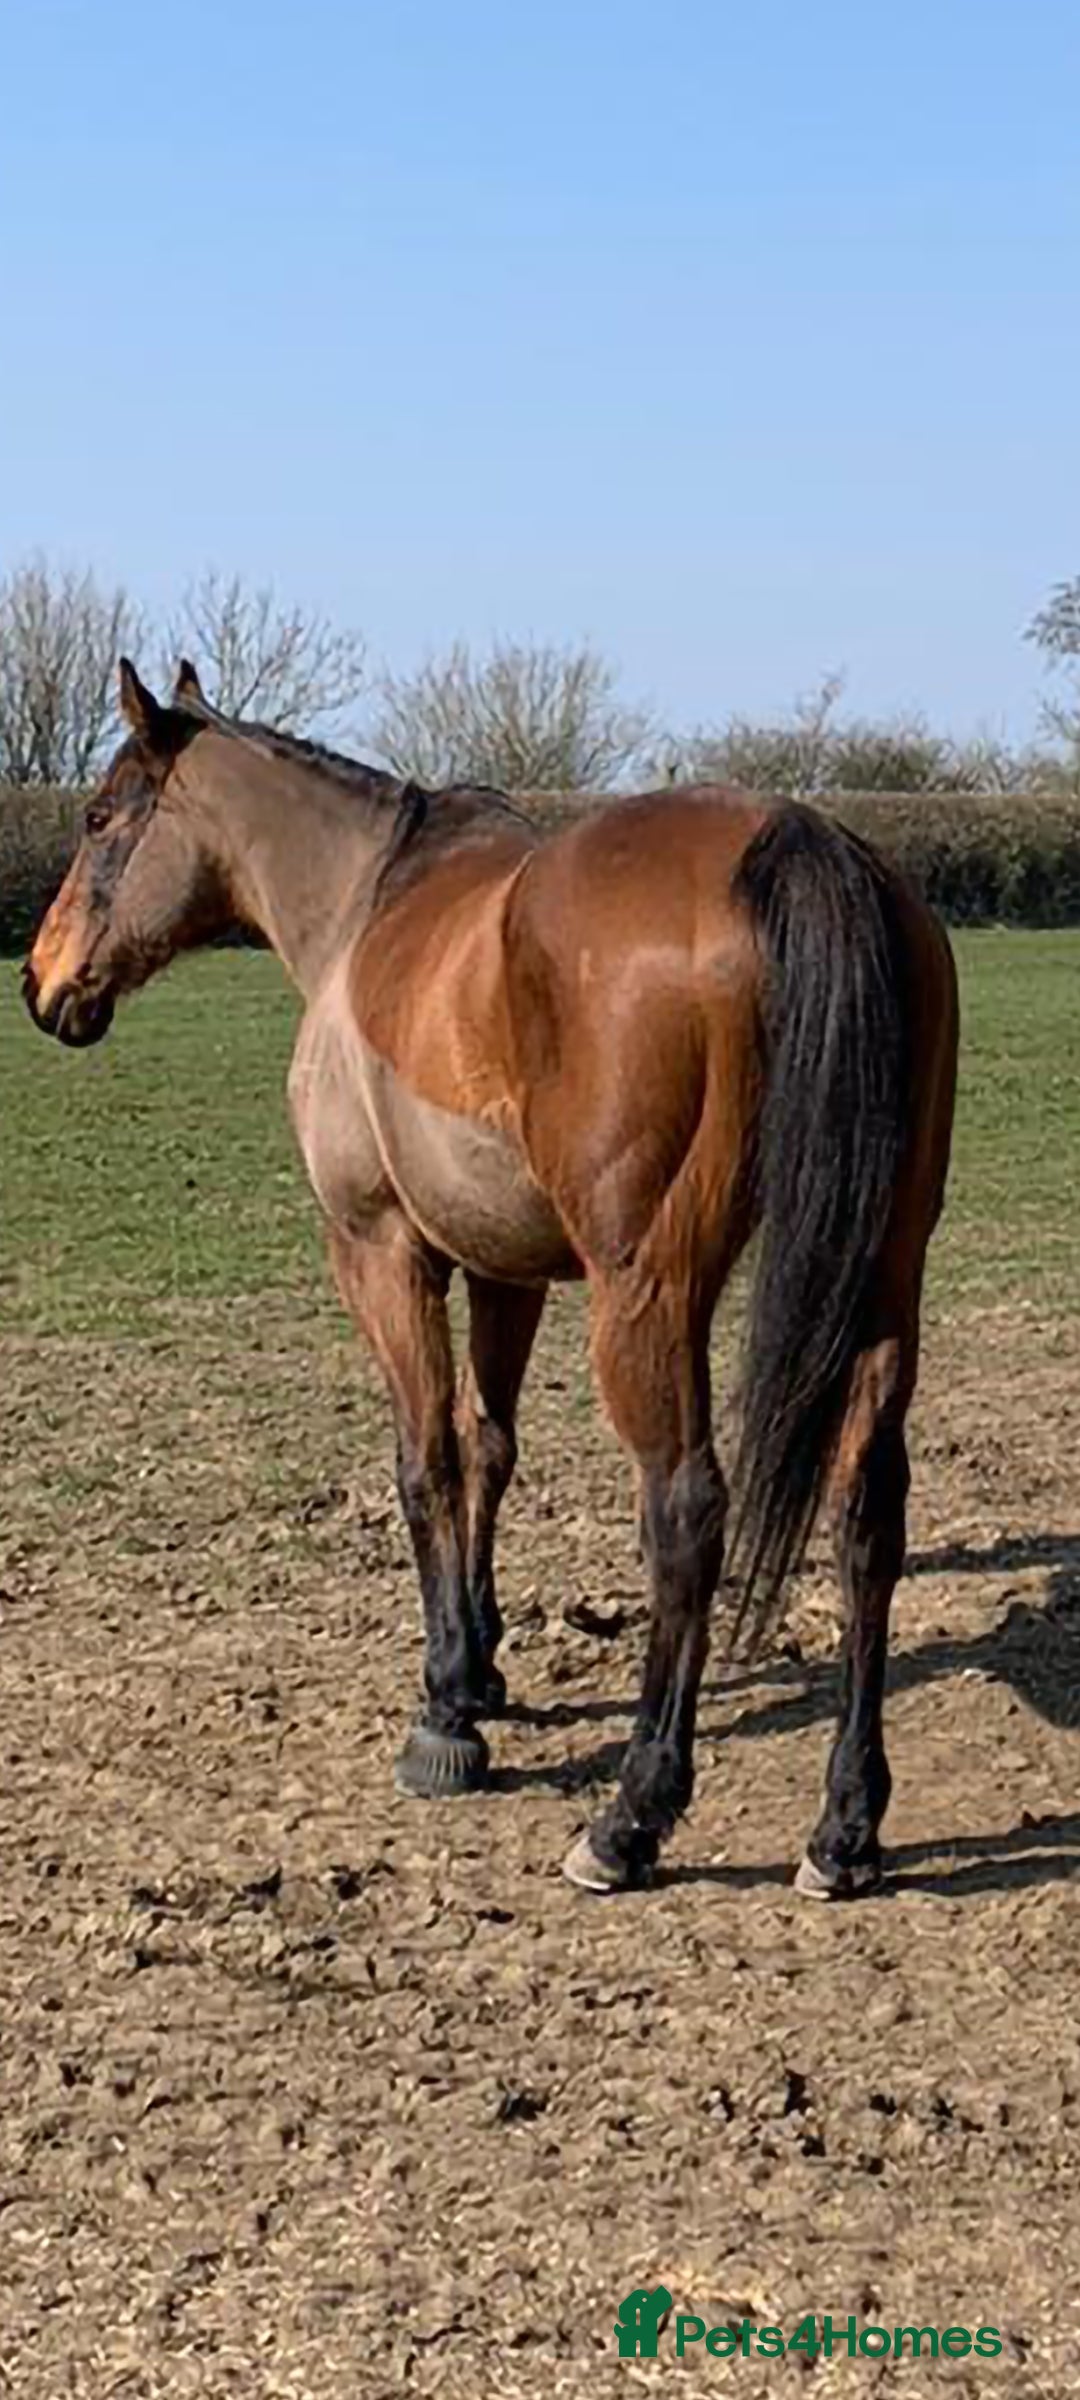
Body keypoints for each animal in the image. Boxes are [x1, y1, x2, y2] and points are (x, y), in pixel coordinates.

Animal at [24, 659, 958, 1899]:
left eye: (97, 818)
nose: (39, 981)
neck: (366, 903)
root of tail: (792, 836)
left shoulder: (381, 1252)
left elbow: (425, 1462)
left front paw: (442, 1715)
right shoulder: (505, 1268)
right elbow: (491, 1450)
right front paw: (480, 1669)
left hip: (648, 1296)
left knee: (687, 1513)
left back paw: (632, 1816)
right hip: (884, 1286)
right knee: (867, 1516)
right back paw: (846, 1824)